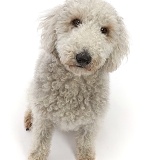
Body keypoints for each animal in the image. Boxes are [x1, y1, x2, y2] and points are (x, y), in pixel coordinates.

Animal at [24, 0, 129, 159]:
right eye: (76, 22)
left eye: (104, 30)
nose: (83, 57)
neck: (74, 83)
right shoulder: (43, 117)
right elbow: (40, 140)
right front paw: (36, 156)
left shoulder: (91, 122)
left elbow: (85, 142)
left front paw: (86, 156)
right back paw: (29, 118)